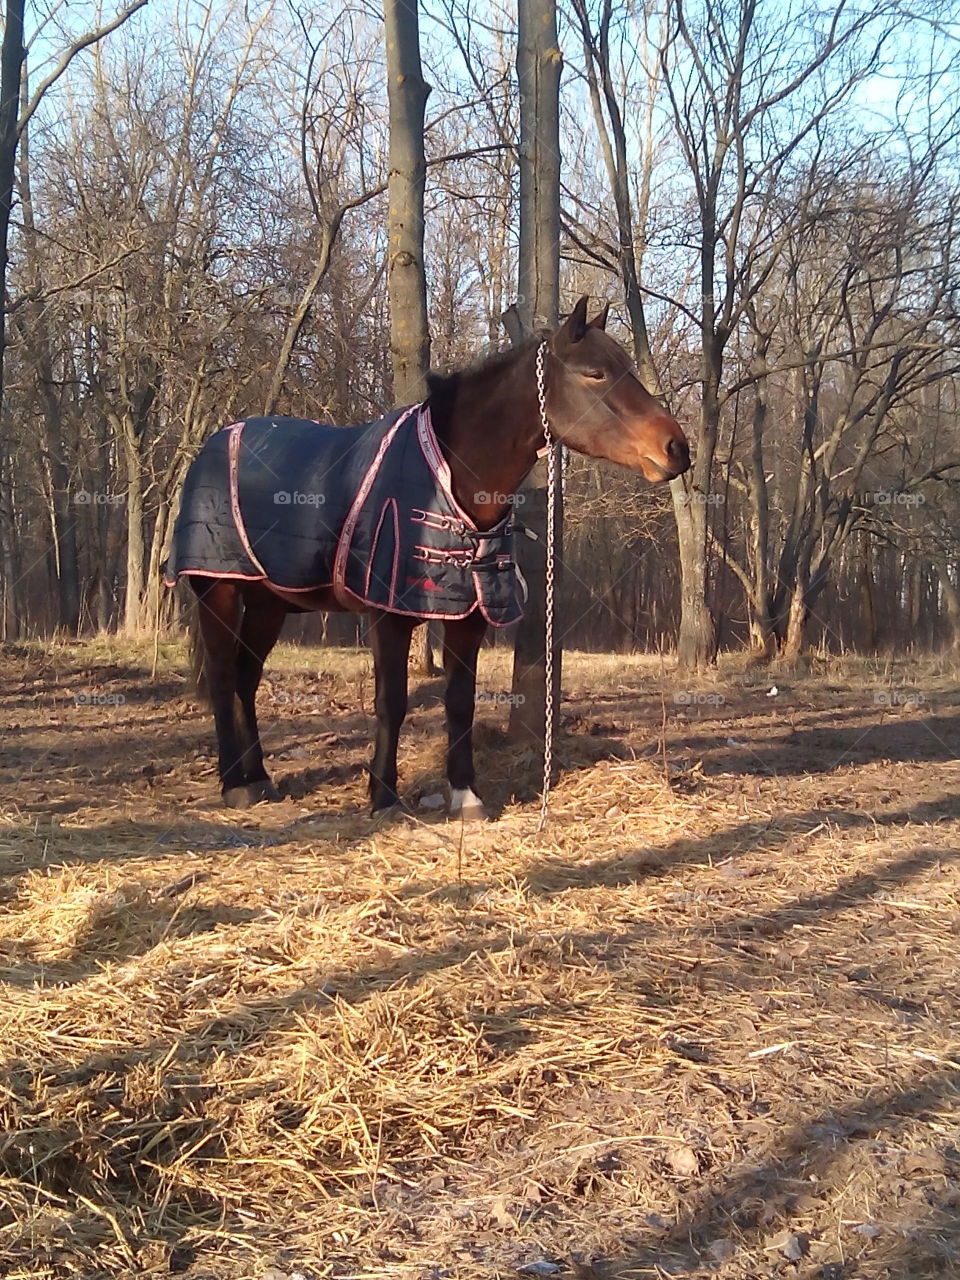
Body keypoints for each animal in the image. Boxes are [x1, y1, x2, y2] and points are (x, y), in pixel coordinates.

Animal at [167, 296, 691, 819]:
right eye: (596, 374)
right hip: (220, 591)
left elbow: (459, 701)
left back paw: (260, 778)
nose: (677, 448)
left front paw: (466, 795)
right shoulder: (388, 615)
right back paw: (235, 783)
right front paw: (384, 797)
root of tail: (212, 445)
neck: (452, 478)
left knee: (246, 678)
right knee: (222, 675)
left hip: (269, 603)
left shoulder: (469, 616)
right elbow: (392, 701)